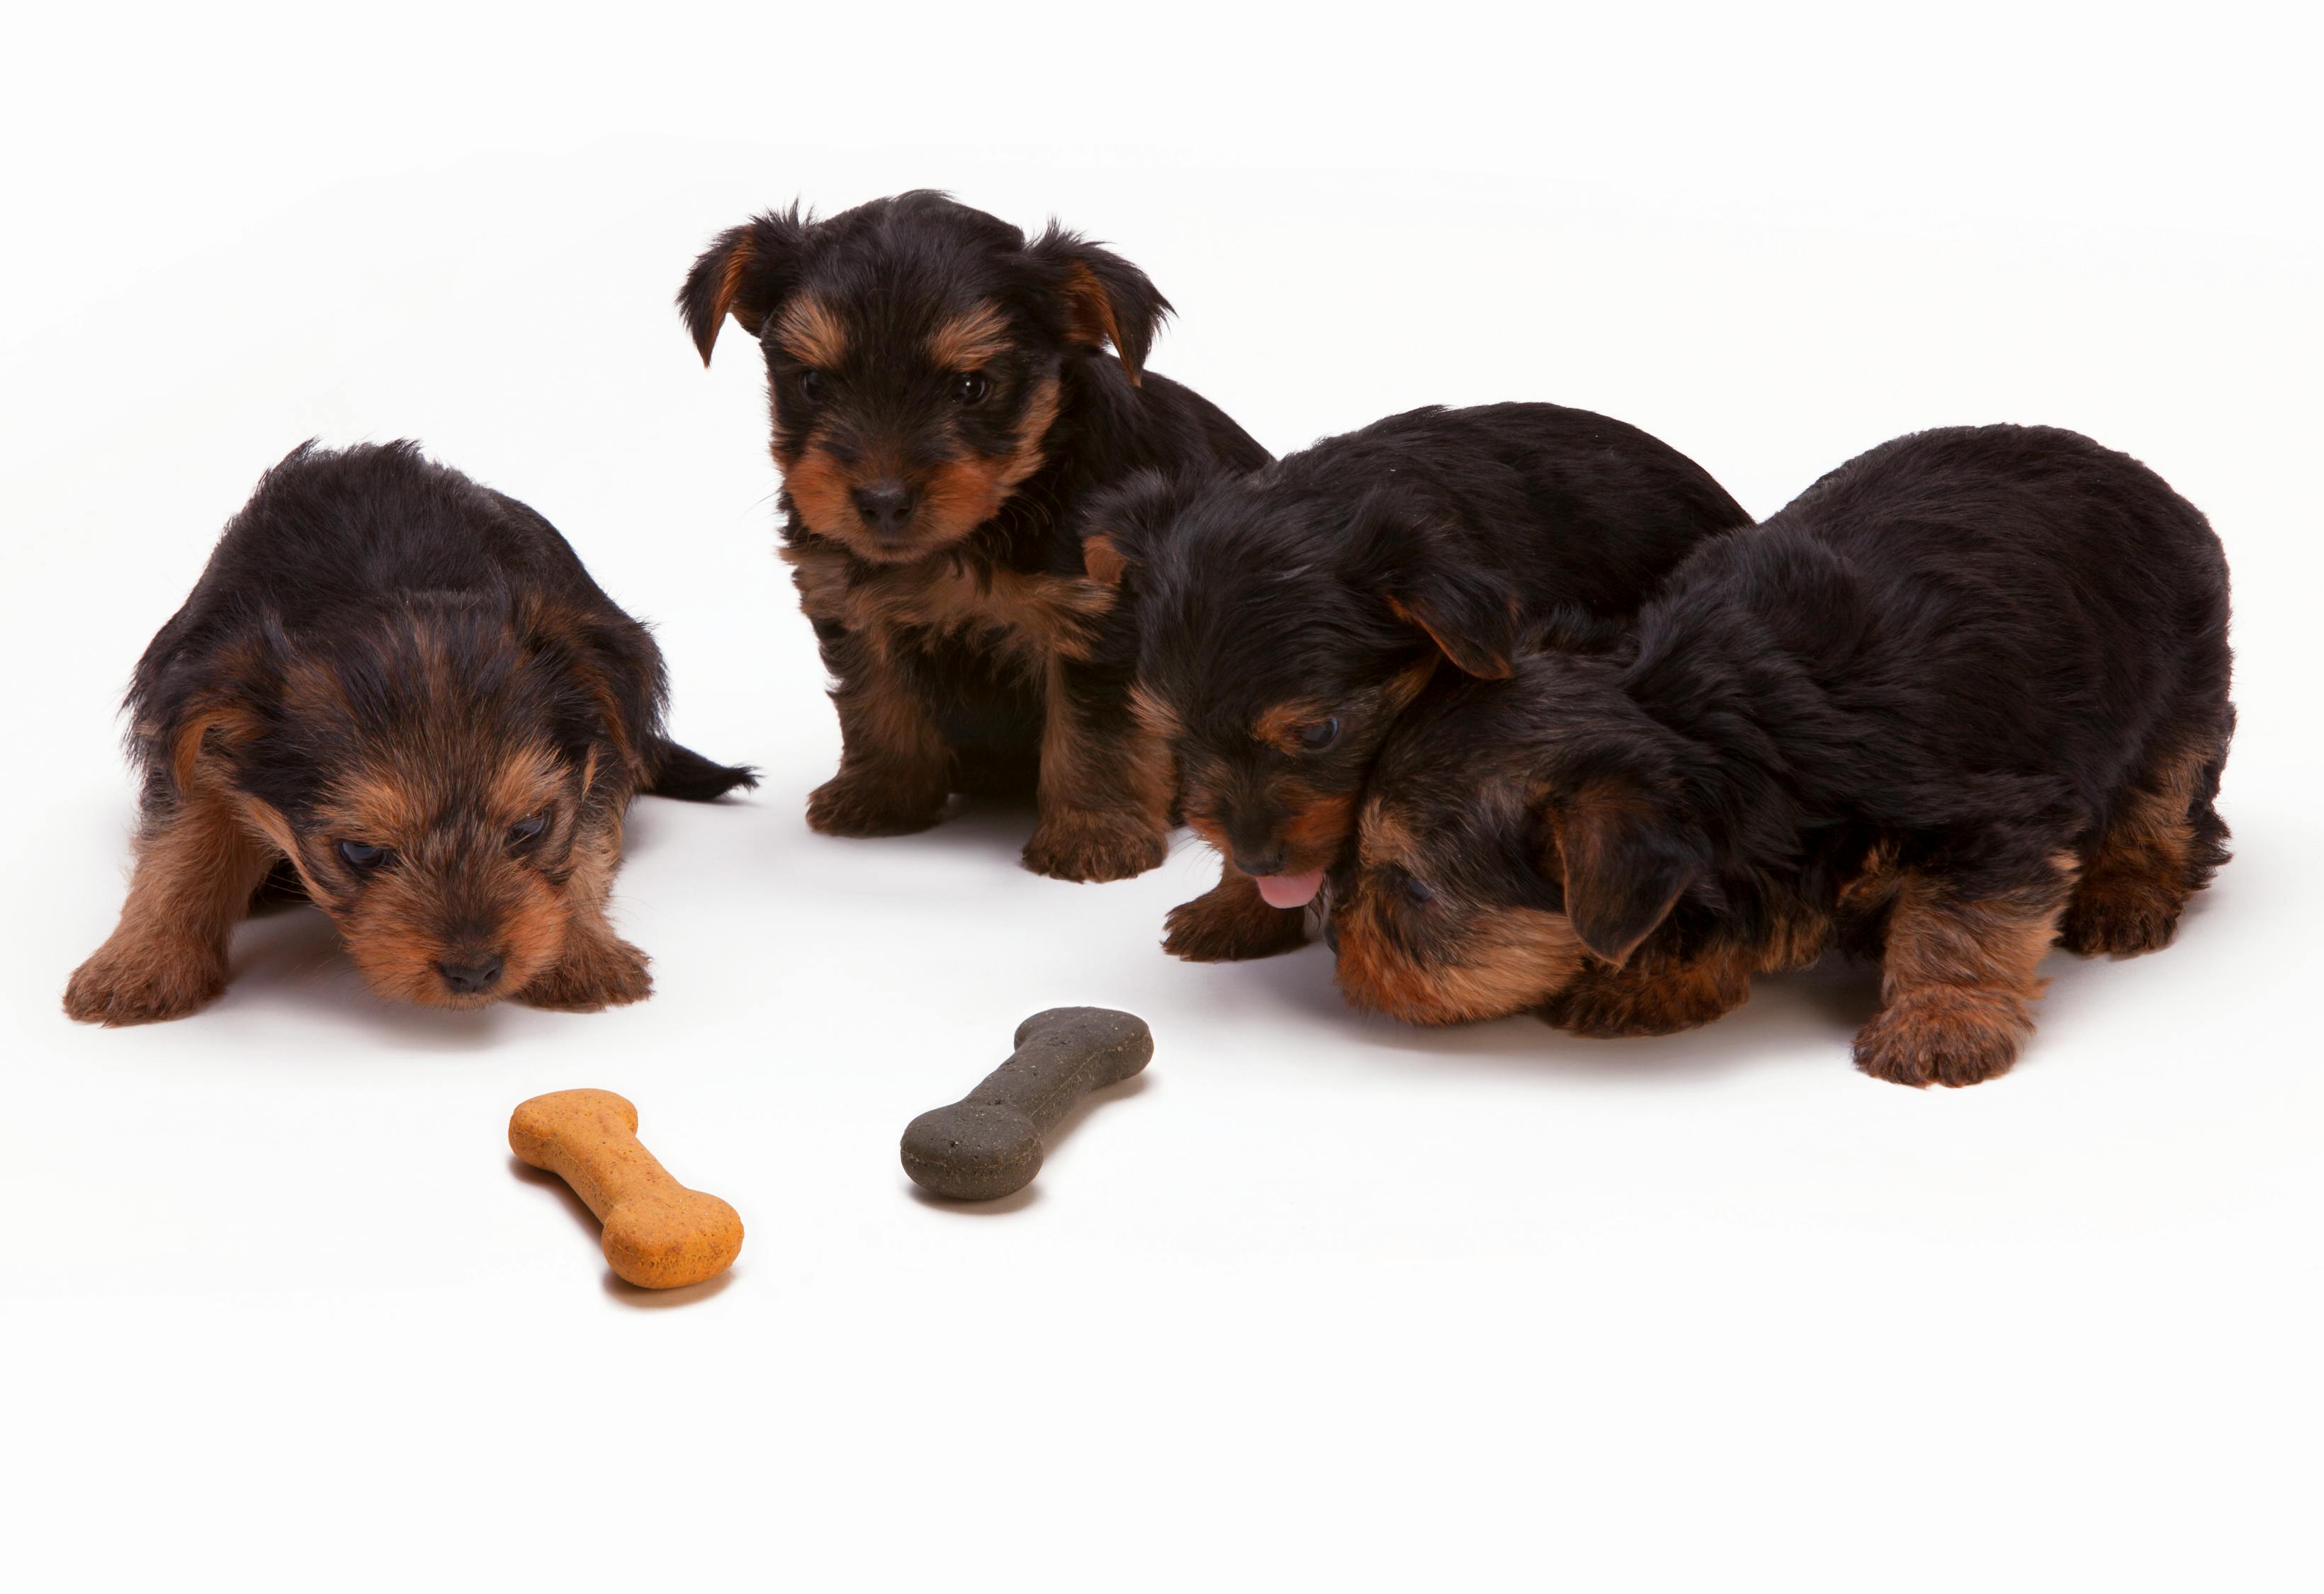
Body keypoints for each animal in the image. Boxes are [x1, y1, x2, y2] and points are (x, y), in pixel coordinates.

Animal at [63, 443, 752, 1031]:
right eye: (360, 853)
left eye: (531, 827)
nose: (475, 972)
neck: (385, 577)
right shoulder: (197, 730)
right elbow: (179, 847)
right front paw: (141, 964)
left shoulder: (599, 743)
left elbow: (585, 843)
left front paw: (582, 952)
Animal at [678, 193, 1273, 887]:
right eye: (813, 383)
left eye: (971, 388)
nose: (882, 500)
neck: (984, 525)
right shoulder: (851, 602)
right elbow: (875, 700)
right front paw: (881, 794)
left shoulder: (1099, 616)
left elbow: (1098, 731)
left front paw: (1094, 835)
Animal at [1329, 425, 2230, 1092]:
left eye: (1410, 889)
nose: (1335, 935)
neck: (1696, 718)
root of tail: (2129, 467)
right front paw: (1651, 979)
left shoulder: (1993, 818)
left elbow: (1961, 922)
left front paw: (1940, 1024)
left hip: (2182, 676)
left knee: (2165, 795)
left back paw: (2127, 892)